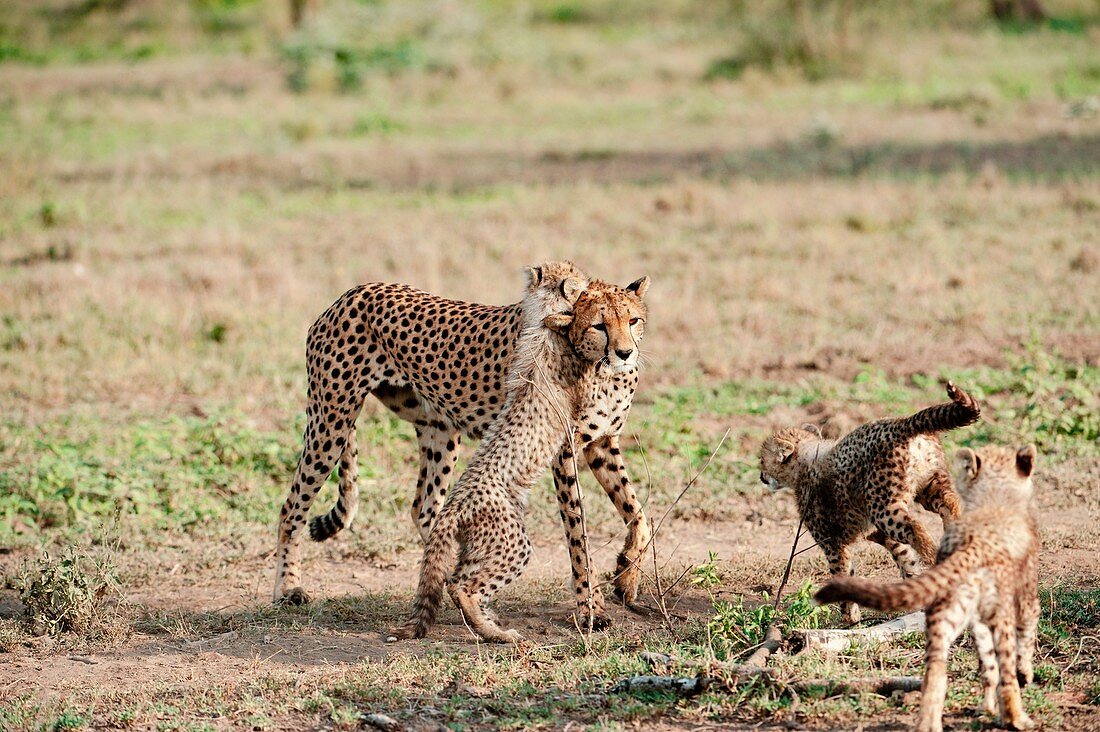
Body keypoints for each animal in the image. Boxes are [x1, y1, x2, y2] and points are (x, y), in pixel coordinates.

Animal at [273, 259, 646, 625]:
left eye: (633, 320)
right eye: (599, 325)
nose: (625, 352)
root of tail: (353, 292)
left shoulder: (602, 442)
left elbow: (638, 513)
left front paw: (626, 577)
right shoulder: (563, 452)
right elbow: (578, 535)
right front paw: (590, 607)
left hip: (438, 427)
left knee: (425, 508)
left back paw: (450, 576)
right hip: (331, 422)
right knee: (292, 506)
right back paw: (287, 588)